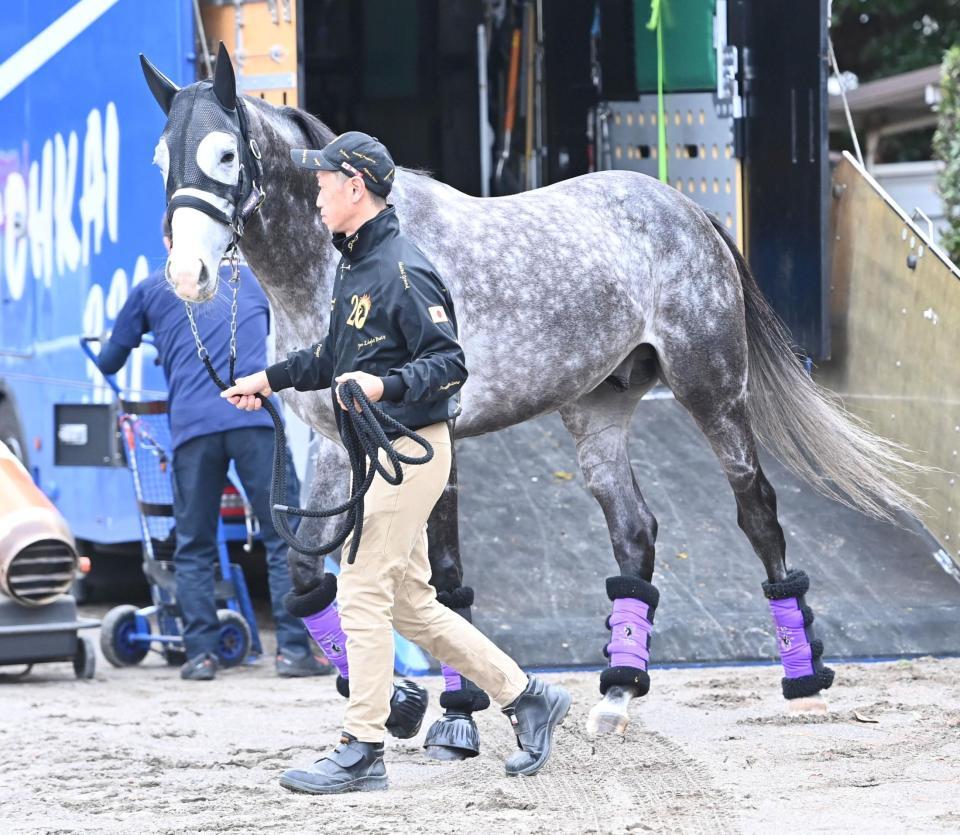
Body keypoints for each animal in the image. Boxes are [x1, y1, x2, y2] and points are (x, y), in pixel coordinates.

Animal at [140, 45, 919, 752]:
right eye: (158, 161)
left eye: (225, 154)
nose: (187, 275)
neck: (345, 260)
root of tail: (688, 210)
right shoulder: (342, 444)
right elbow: (309, 580)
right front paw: (395, 701)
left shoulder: (432, 439)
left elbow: (445, 577)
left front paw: (457, 714)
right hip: (597, 411)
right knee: (635, 531)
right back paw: (616, 694)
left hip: (714, 392)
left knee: (757, 512)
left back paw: (804, 683)